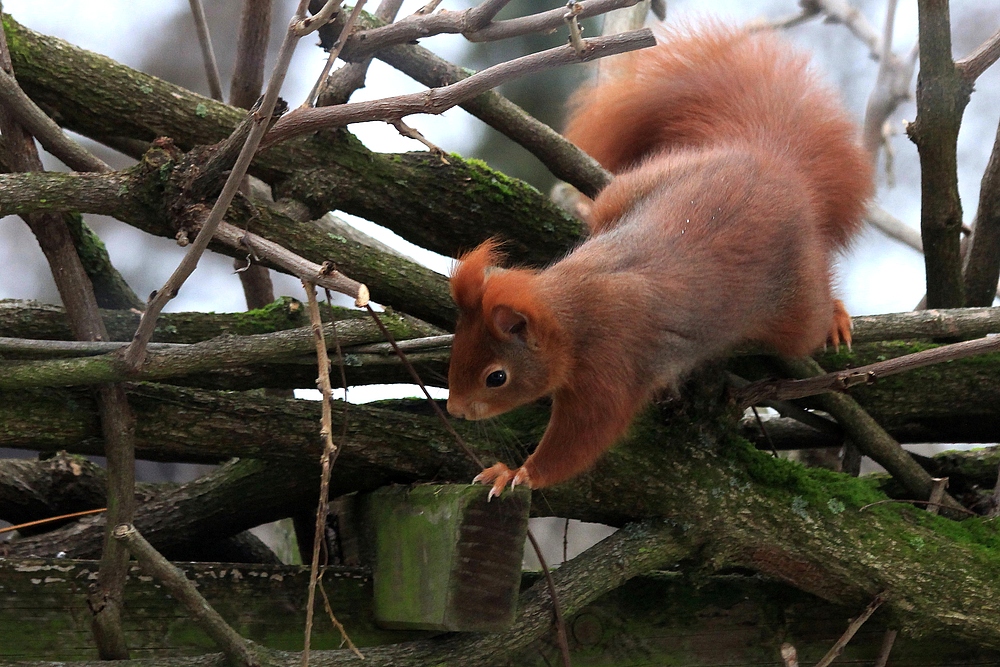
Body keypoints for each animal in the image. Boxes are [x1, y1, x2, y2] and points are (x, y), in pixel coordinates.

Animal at [448, 24, 876, 496]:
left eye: (497, 377)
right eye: (455, 347)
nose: (455, 411)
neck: (571, 307)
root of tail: (768, 160)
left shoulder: (611, 362)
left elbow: (587, 434)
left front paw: (519, 472)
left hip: (794, 300)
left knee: (808, 319)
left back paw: (835, 317)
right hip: (630, 189)